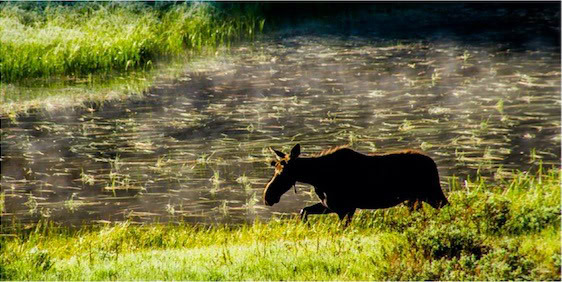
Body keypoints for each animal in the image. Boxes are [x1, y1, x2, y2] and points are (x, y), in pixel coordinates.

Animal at [262, 144, 446, 224]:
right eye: (275, 169)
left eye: (282, 173)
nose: (267, 197)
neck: (317, 177)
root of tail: (433, 163)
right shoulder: (332, 206)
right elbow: (303, 211)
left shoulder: (346, 208)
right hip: (413, 200)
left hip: (432, 193)